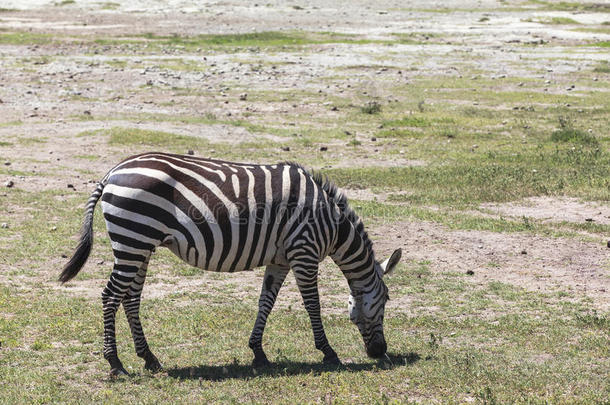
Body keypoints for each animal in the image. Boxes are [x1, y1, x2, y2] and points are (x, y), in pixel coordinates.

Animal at [57, 152, 400, 376]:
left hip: (138, 245)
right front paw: (328, 352)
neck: (331, 224)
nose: (380, 352)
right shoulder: (304, 251)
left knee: (130, 298)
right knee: (110, 296)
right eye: (385, 302)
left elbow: (266, 301)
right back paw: (115, 364)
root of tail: (112, 172)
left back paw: (149, 358)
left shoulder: (280, 259)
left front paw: (258, 352)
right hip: (133, 240)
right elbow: (313, 305)